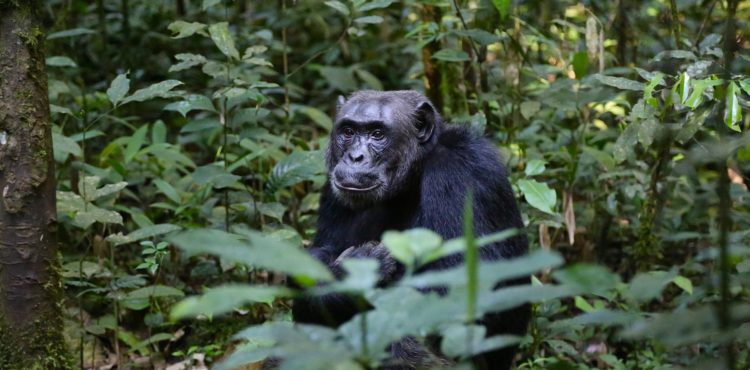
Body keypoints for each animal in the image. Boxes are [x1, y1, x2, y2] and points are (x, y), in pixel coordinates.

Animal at [290, 90, 532, 370]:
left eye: (377, 134)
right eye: (348, 131)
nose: (355, 157)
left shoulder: (462, 173)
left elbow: (468, 290)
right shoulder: (332, 191)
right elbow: (318, 256)